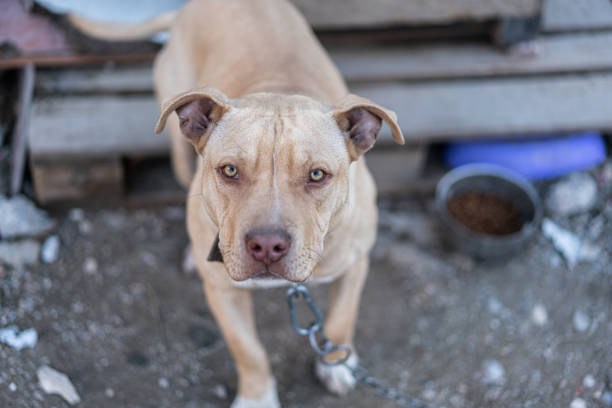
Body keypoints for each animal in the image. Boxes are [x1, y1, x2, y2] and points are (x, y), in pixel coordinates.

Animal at [69, 1, 404, 406]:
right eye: (230, 170)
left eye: (317, 175)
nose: (267, 245)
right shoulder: (223, 292)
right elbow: (249, 351)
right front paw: (257, 398)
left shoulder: (355, 263)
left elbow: (341, 319)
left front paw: (336, 364)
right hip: (180, 154)